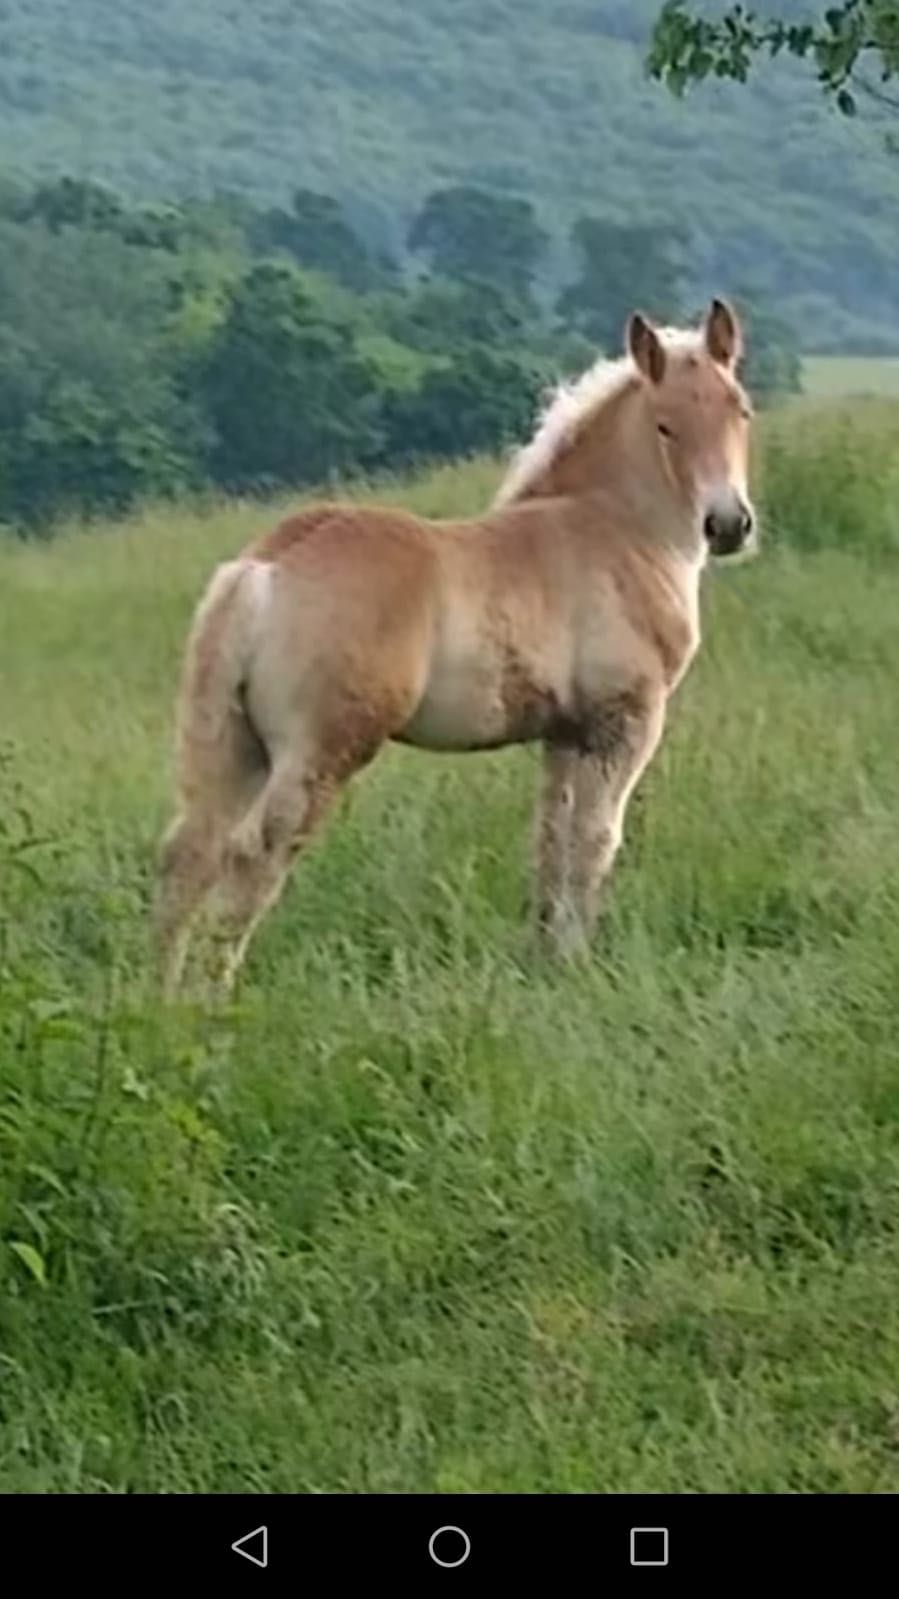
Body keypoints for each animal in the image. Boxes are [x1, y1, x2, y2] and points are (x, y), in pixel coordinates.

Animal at [155, 300, 755, 991]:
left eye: (741, 409)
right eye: (665, 426)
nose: (729, 525)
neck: (614, 529)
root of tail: (263, 569)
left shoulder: (564, 733)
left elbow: (551, 840)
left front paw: (547, 960)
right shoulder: (624, 721)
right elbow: (595, 840)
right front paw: (579, 964)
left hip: (234, 746)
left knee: (189, 853)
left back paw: (160, 995)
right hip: (319, 754)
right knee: (253, 854)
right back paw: (212, 995)